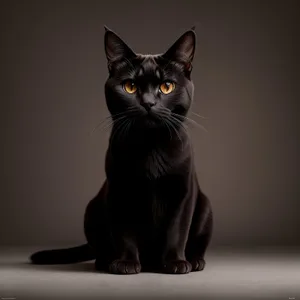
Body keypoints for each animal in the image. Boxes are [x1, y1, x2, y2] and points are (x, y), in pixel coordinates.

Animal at [30, 27, 212, 276]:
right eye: (130, 86)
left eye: (167, 86)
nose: (148, 103)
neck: (150, 147)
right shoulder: (119, 189)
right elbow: (124, 232)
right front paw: (125, 263)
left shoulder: (183, 192)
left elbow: (177, 229)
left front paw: (175, 262)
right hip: (92, 209)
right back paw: (105, 261)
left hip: (206, 207)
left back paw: (194, 261)